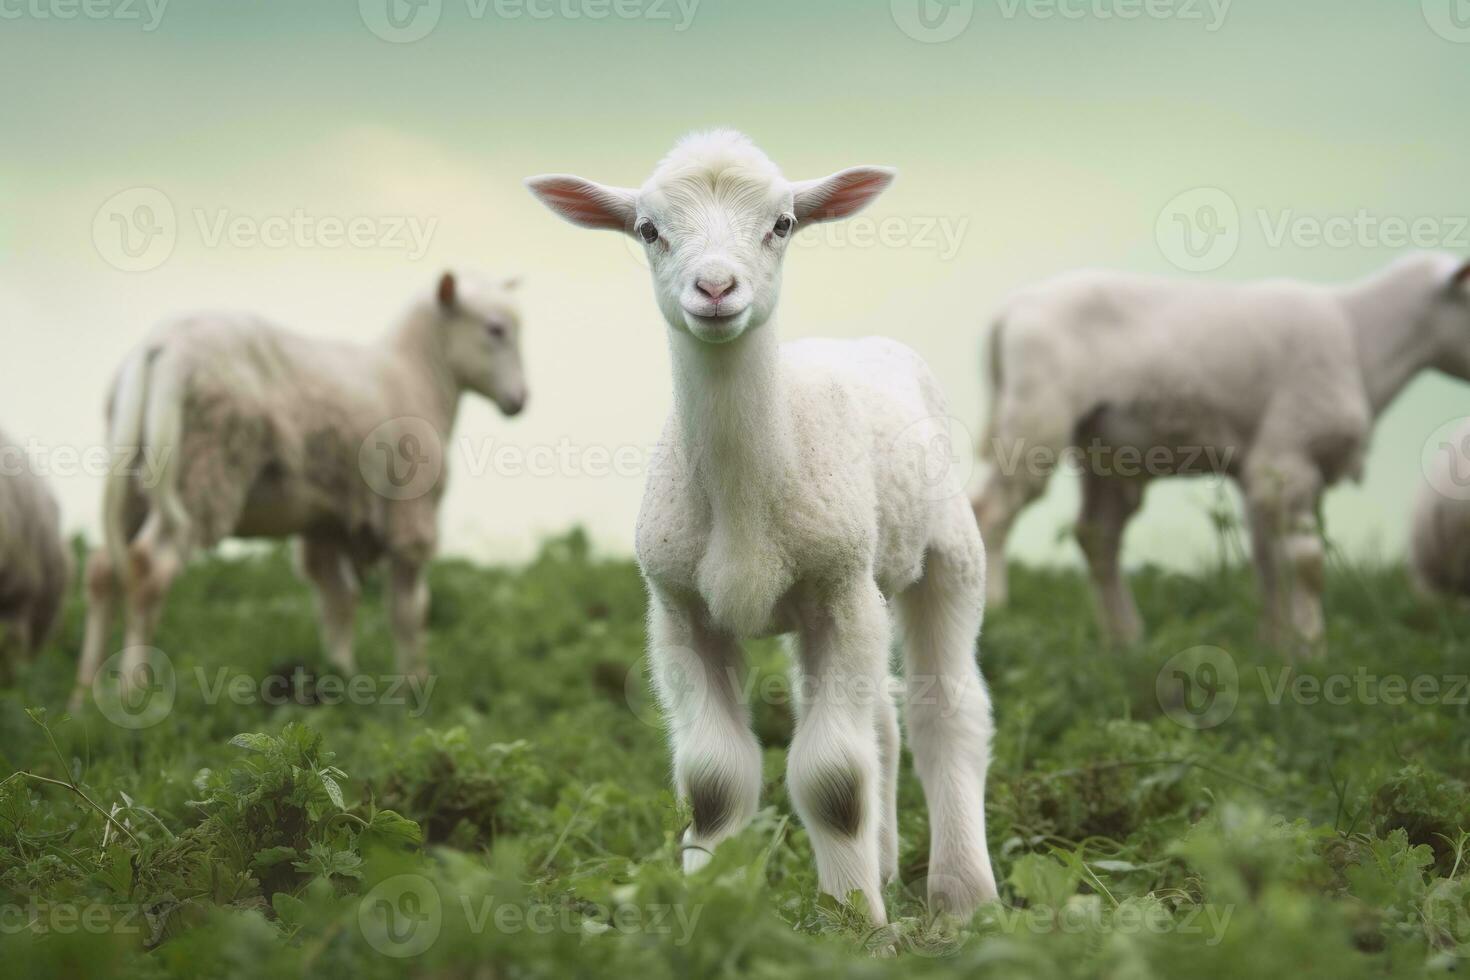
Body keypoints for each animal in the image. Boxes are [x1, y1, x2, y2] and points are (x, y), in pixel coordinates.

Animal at [71, 276, 529, 705]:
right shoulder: (410, 512)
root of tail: (160, 350)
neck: (418, 375)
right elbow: (409, 610)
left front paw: (341, 680)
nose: (520, 401)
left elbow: (337, 602)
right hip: (203, 474)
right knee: (149, 568)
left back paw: (84, 697)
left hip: (137, 481)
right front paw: (411, 691)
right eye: (496, 329)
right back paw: (133, 691)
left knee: (104, 568)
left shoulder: (325, 524)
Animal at [529, 132, 999, 928]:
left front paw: (855, 924)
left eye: (782, 224)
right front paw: (709, 910)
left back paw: (962, 895)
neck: (743, 500)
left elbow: (832, 780)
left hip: (944, 554)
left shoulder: (837, 590)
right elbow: (713, 784)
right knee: (882, 721)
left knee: (947, 712)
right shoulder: (680, 610)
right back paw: (884, 864)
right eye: (648, 230)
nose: (716, 289)